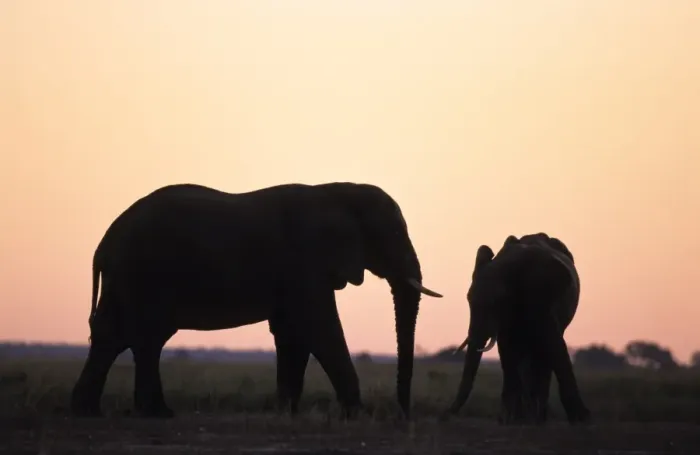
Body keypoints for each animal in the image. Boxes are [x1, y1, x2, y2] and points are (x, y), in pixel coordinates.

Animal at [69, 182, 443, 419]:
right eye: (393, 234)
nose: (401, 413)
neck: (338, 191)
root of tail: (103, 243)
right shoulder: (305, 261)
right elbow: (318, 326)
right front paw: (355, 414)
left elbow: (293, 331)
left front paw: (286, 411)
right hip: (144, 273)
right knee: (145, 337)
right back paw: (157, 413)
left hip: (126, 278)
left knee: (115, 335)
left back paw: (91, 411)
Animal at [444, 233, 590, 425]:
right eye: (469, 299)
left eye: (497, 302)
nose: (444, 416)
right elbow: (507, 350)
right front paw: (510, 420)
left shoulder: (541, 297)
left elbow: (554, 344)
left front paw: (581, 420)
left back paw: (538, 419)